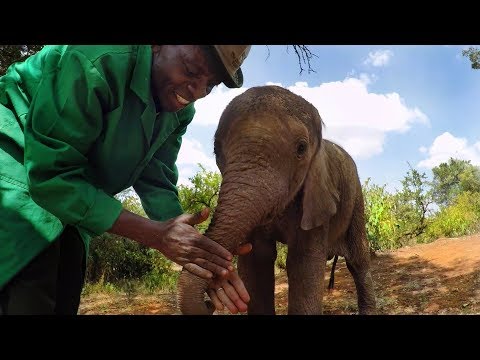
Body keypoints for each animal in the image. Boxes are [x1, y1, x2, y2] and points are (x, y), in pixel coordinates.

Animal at [178, 85, 376, 316]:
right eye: (216, 150)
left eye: (301, 148)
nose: (209, 303)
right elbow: (257, 260)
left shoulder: (317, 200)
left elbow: (302, 265)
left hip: (356, 197)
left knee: (358, 261)